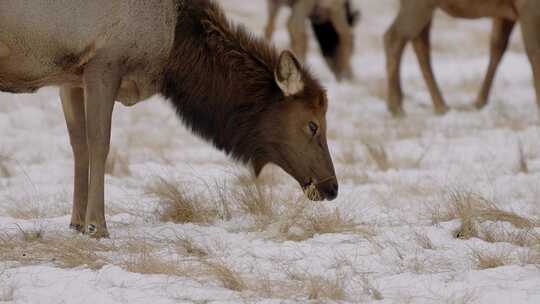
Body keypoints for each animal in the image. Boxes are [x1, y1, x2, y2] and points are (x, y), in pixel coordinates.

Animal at [0, 0, 338, 238]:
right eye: (312, 124)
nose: (331, 187)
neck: (173, 50)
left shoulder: (70, 77)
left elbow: (79, 147)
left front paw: (76, 223)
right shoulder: (104, 63)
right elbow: (100, 145)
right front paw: (98, 226)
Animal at [384, 0, 540, 117]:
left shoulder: (507, 14)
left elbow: (497, 47)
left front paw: (479, 102)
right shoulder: (529, 7)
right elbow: (533, 53)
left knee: (419, 43)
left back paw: (440, 105)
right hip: (418, 5)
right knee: (394, 36)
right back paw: (397, 107)